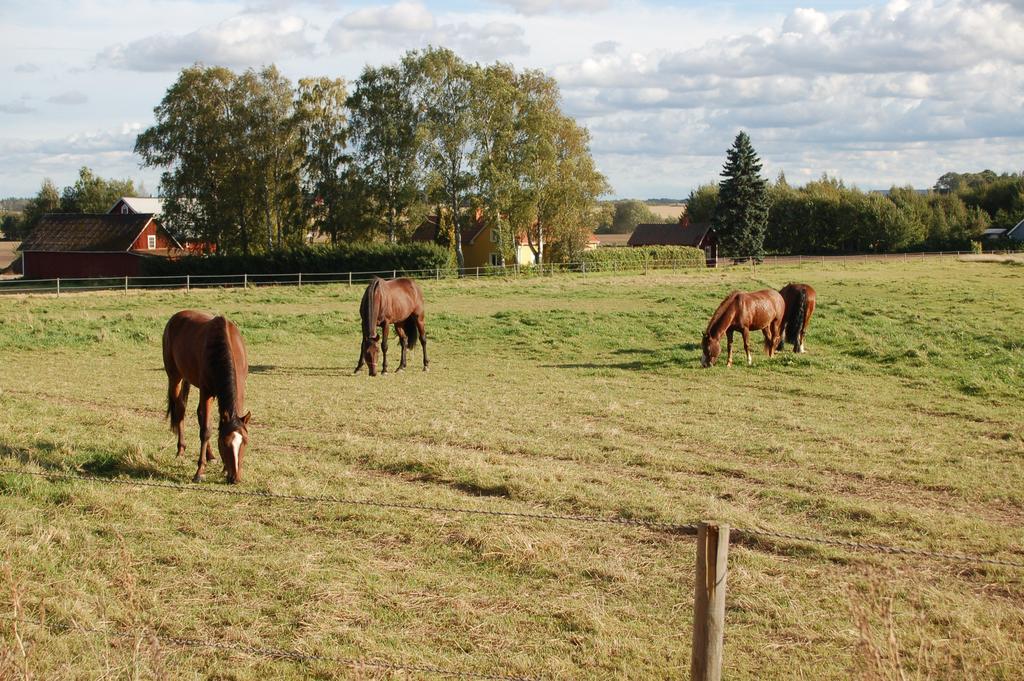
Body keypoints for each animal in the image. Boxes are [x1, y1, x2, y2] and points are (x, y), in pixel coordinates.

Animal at [165, 311, 251, 481]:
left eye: (244, 442)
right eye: (225, 443)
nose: (235, 478)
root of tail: (176, 317)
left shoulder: (240, 389)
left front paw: (224, 467)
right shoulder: (206, 392)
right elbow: (206, 430)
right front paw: (199, 472)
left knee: (198, 413)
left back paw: (210, 455)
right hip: (174, 376)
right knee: (180, 409)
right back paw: (180, 450)